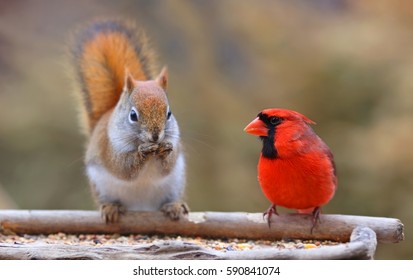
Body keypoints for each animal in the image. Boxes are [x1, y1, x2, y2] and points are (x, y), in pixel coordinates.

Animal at [70, 19, 187, 223]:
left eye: (169, 113)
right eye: (133, 115)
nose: (155, 136)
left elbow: (168, 165)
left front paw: (165, 150)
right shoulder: (110, 148)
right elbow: (124, 168)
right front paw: (142, 152)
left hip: (175, 183)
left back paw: (174, 206)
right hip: (101, 186)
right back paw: (110, 208)